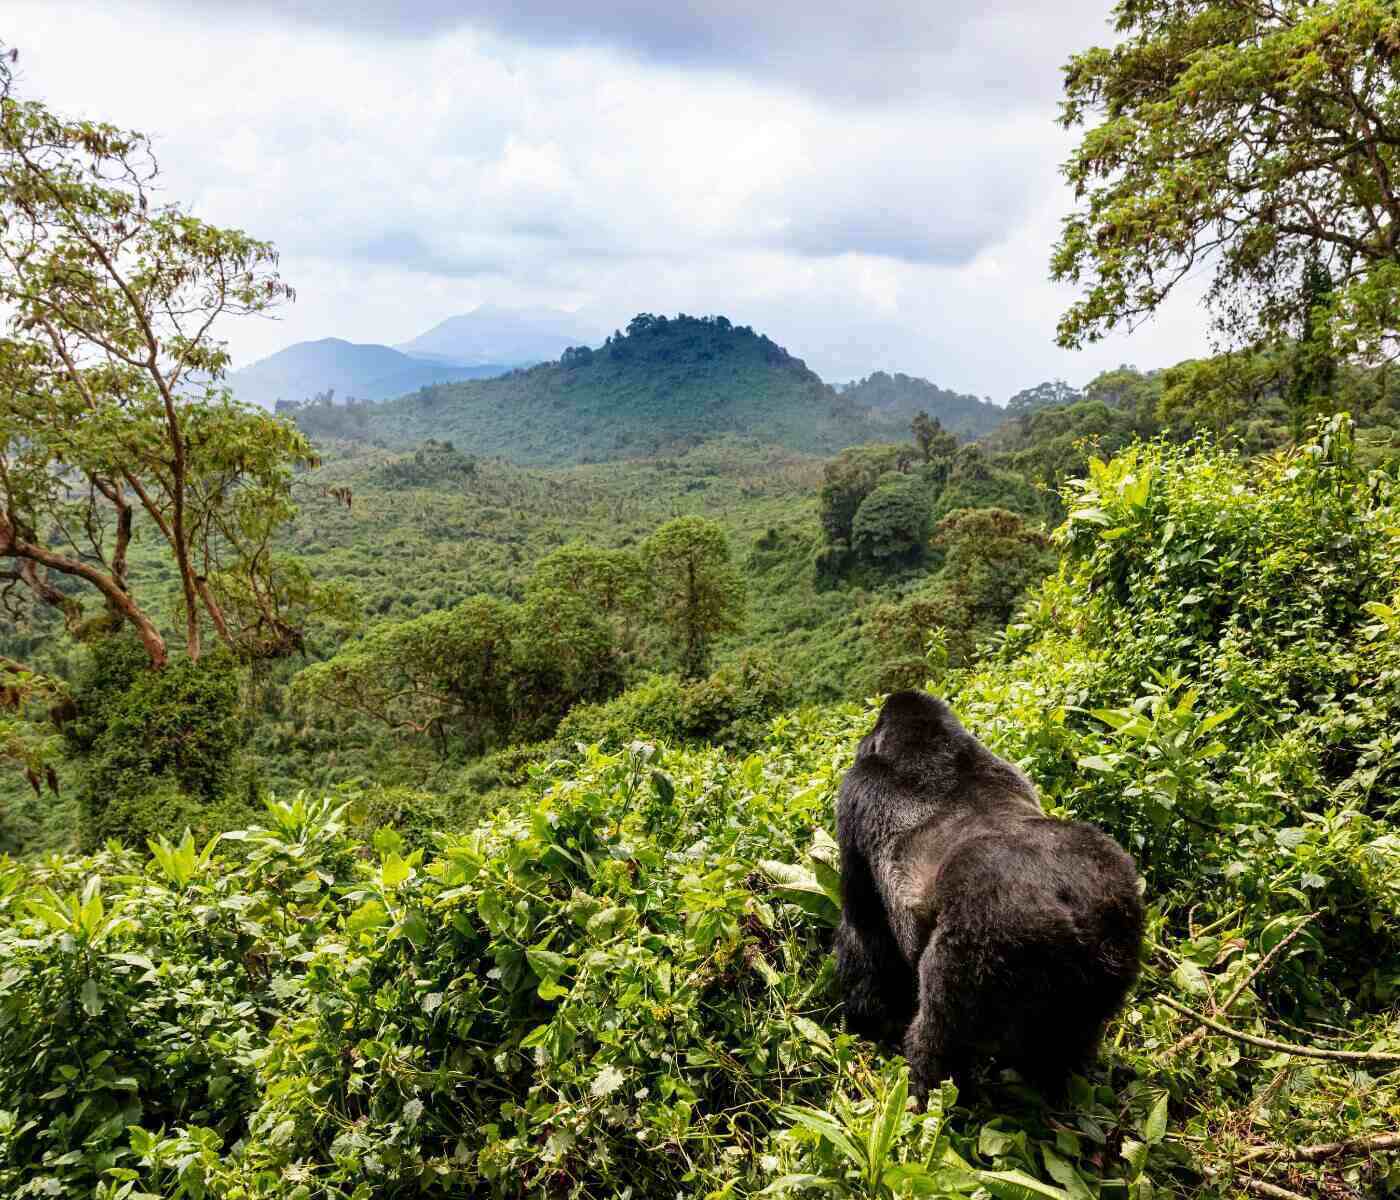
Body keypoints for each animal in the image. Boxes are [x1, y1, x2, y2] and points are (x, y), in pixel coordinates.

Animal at [834, 690, 1144, 1099]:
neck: (929, 746)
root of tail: (1069, 910)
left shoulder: (855, 793)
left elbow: (864, 928)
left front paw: (867, 1021)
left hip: (984, 941)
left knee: (940, 1038)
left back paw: (930, 1091)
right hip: (1117, 927)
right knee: (1069, 1037)